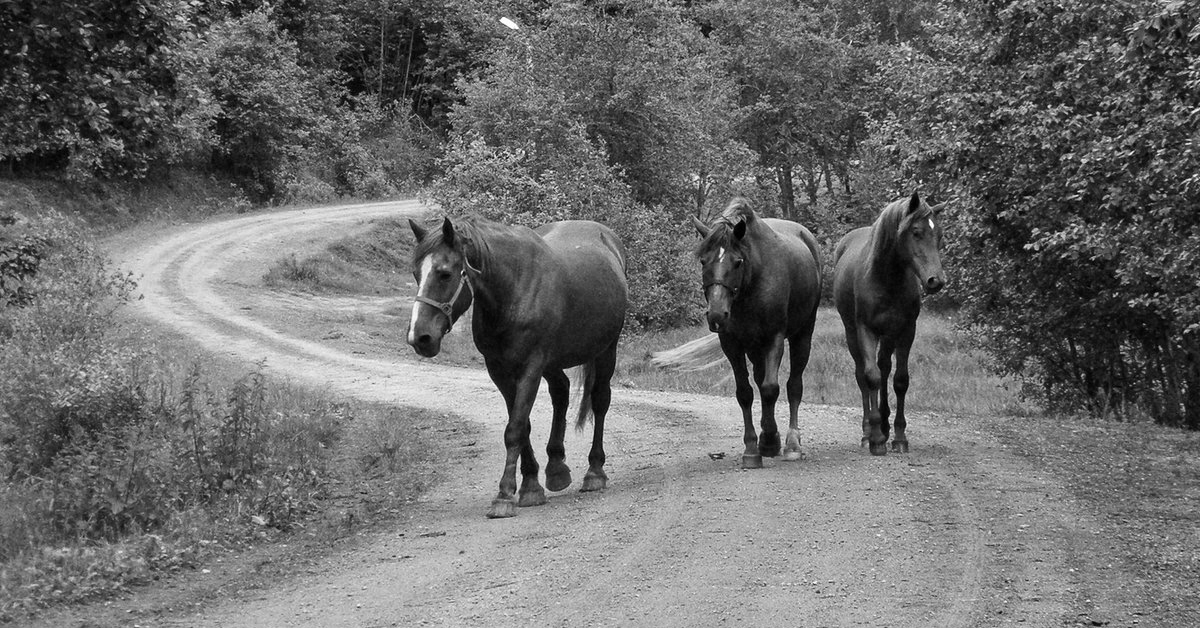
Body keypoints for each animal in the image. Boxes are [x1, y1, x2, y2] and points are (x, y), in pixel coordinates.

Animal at [408, 213, 628, 518]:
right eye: (416, 274)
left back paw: (594, 472)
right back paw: (556, 467)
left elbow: (515, 428)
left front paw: (504, 495)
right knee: (561, 391)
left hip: (606, 350)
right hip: (554, 362)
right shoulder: (499, 371)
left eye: (444, 274)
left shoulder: (531, 367)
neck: (513, 290)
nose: (419, 337)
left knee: (599, 401)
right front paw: (531, 484)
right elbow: (521, 426)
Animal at [652, 199, 820, 468]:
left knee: (794, 385)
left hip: (802, 335)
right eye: (703, 261)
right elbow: (745, 393)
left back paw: (792, 443)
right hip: (754, 348)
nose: (717, 315)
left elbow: (771, 388)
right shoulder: (732, 345)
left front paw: (769, 441)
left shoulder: (774, 338)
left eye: (737, 262)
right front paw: (753, 448)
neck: (752, 286)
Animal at [835, 192, 945, 456]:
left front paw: (899, 436)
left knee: (885, 367)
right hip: (852, 334)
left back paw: (885, 425)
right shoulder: (865, 330)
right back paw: (868, 431)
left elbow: (900, 380)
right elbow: (872, 377)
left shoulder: (906, 331)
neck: (886, 279)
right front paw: (875, 438)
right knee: (863, 376)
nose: (936, 281)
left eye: (939, 235)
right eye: (916, 232)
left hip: (888, 336)